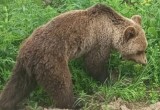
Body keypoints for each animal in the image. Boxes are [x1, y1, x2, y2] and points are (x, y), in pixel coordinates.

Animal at [0, 3, 148, 110]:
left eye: (145, 48)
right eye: (140, 50)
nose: (145, 62)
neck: (111, 30)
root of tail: (28, 53)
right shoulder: (98, 41)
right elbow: (95, 64)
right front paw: (112, 80)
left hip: (22, 67)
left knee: (16, 87)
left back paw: (6, 103)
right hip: (52, 61)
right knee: (62, 84)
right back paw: (77, 102)